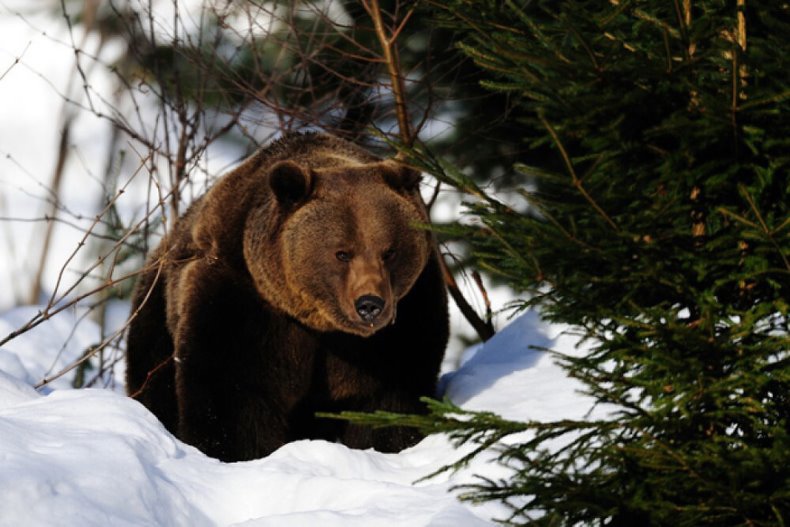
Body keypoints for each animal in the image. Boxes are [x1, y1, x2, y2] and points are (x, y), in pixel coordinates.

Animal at [122, 133, 446, 462]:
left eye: (389, 251)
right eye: (342, 253)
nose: (370, 304)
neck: (319, 324)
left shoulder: (405, 318)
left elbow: (389, 397)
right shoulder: (241, 305)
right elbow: (231, 397)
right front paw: (235, 453)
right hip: (157, 313)